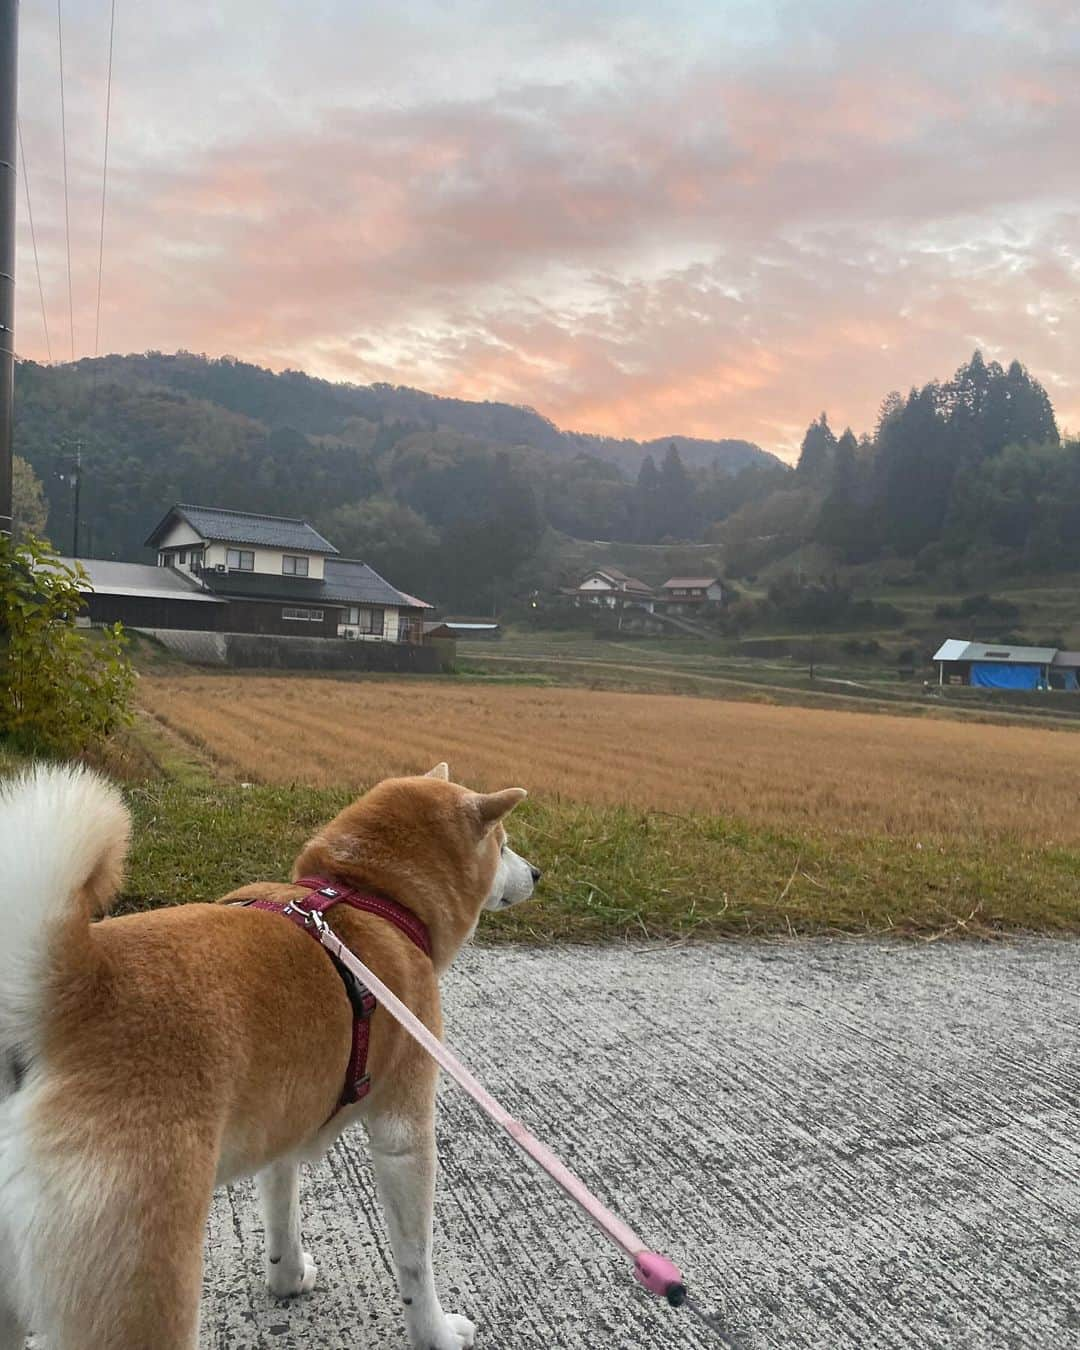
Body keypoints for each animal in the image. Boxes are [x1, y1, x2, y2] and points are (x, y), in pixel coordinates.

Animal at [0, 766, 537, 1344]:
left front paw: (288, 1275)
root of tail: (69, 992)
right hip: (144, 1291)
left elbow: (283, 1209)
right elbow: (416, 1262)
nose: (537, 872)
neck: (369, 894)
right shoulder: (404, 1134)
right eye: (503, 844)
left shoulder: (283, 1113)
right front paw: (435, 1333)